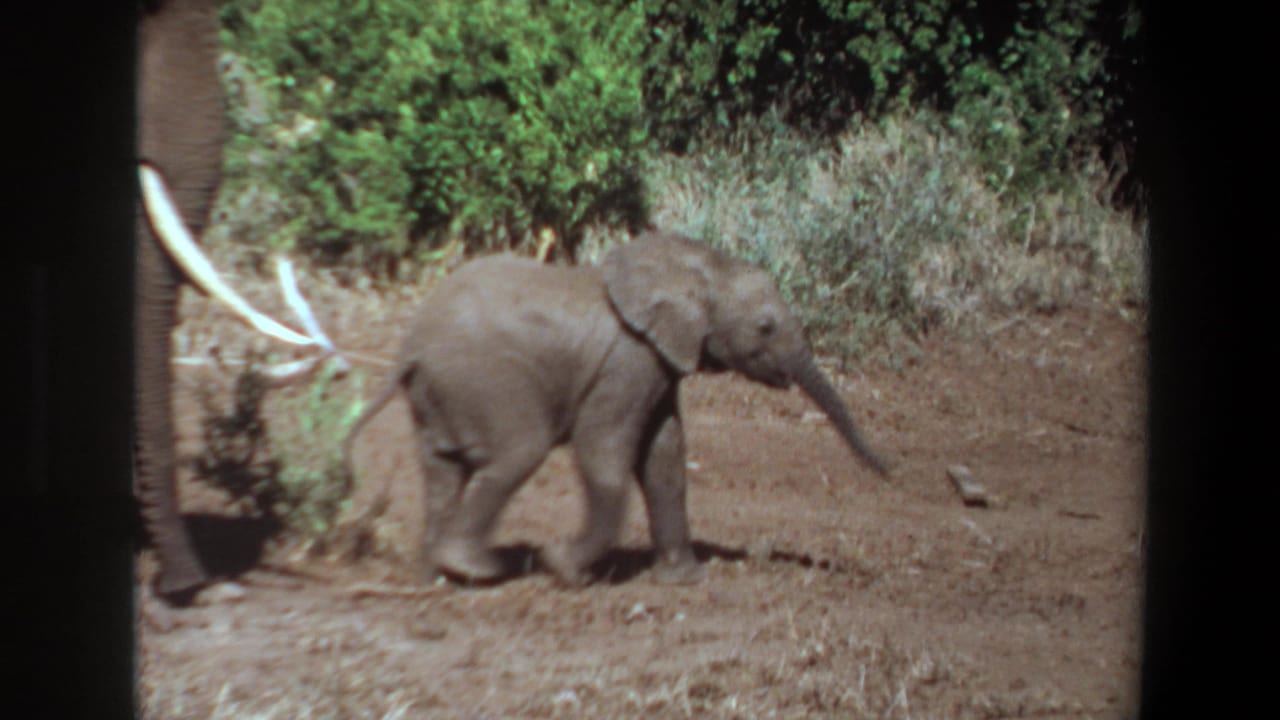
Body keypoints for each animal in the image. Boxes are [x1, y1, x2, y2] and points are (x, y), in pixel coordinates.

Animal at [344, 231, 890, 587]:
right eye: (765, 328)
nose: (888, 471)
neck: (694, 263)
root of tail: (410, 348)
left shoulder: (660, 363)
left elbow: (665, 457)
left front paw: (683, 580)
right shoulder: (629, 361)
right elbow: (604, 450)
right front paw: (564, 568)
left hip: (440, 394)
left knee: (442, 471)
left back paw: (434, 578)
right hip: (485, 380)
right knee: (517, 452)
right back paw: (476, 568)